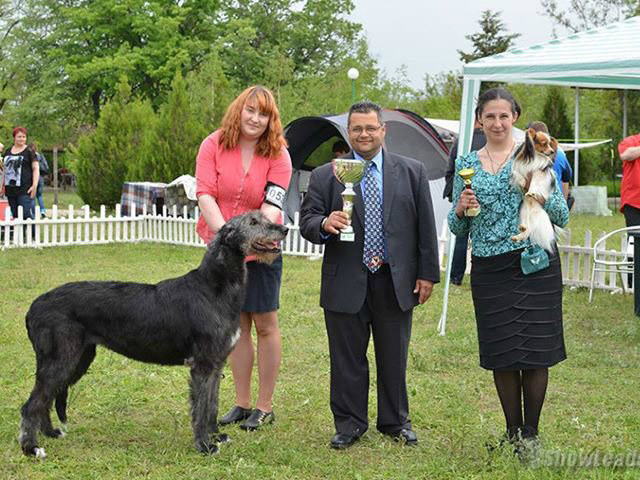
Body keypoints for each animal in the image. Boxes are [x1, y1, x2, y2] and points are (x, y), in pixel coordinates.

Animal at [18, 211, 288, 458]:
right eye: (252, 222)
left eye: (264, 217)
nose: (284, 229)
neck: (214, 286)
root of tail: (33, 307)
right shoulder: (201, 365)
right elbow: (200, 408)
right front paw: (204, 445)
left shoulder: (216, 363)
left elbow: (211, 404)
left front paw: (216, 436)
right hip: (62, 358)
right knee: (32, 403)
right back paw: (31, 448)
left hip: (80, 357)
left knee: (46, 398)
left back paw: (50, 432)